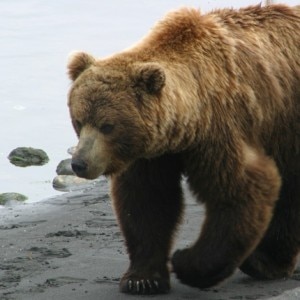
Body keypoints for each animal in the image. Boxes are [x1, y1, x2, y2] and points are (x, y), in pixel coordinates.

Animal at [67, 4, 300, 296]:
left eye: (107, 126)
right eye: (78, 120)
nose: (79, 163)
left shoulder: (220, 132)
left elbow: (242, 189)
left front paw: (186, 262)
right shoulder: (152, 154)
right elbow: (147, 202)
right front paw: (142, 279)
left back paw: (264, 262)